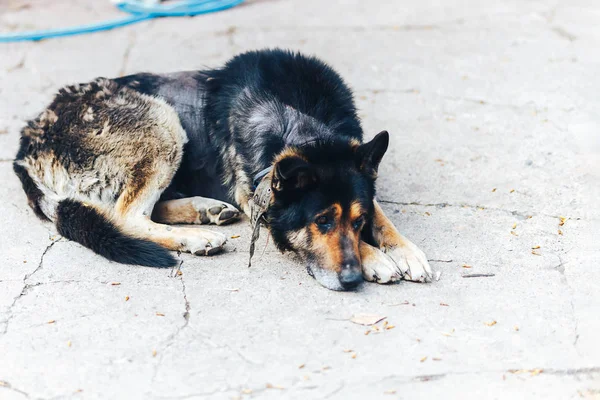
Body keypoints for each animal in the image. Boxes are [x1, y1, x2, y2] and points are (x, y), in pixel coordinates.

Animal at [12, 48, 432, 290]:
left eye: (357, 222)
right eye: (322, 222)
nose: (351, 279)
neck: (300, 120)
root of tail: (27, 141)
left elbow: (379, 212)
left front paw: (405, 251)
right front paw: (375, 258)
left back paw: (204, 210)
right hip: (163, 123)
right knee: (127, 214)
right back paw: (195, 237)